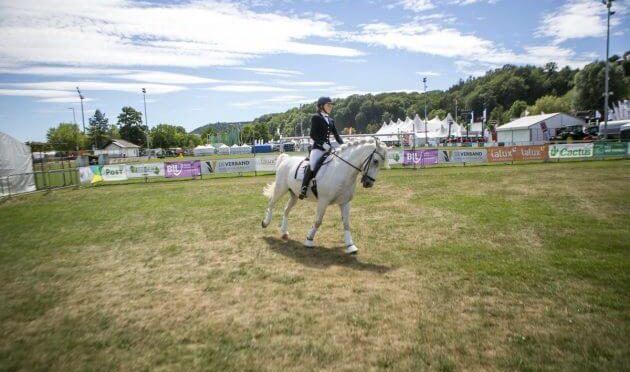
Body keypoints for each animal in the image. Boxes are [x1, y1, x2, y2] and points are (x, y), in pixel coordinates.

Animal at [262, 138, 390, 254]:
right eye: (375, 161)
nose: (369, 183)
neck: (341, 170)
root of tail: (286, 159)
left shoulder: (345, 202)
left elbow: (346, 223)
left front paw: (350, 245)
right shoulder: (323, 201)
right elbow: (318, 221)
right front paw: (309, 240)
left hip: (294, 194)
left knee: (286, 209)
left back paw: (284, 232)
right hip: (281, 188)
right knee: (271, 203)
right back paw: (265, 222)